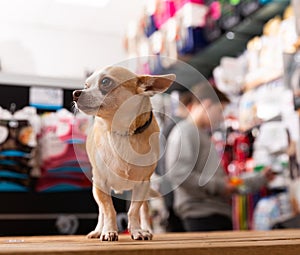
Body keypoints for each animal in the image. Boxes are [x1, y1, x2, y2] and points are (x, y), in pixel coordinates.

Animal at [73, 65, 176, 241]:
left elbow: (134, 210)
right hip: (97, 188)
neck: (122, 133)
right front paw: (109, 231)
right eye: (86, 85)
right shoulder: (101, 183)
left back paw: (147, 228)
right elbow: (108, 210)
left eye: (105, 82)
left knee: (144, 209)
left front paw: (137, 231)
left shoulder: (143, 184)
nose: (76, 93)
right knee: (101, 211)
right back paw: (98, 230)